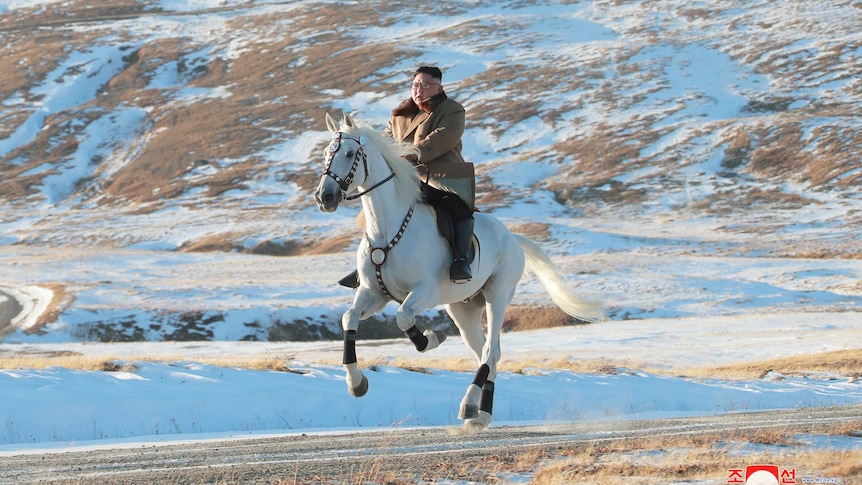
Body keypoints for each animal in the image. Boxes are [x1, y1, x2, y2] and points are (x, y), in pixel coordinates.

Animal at [314, 112, 604, 428]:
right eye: (327, 153)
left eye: (349, 153)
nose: (324, 197)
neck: (387, 229)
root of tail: (512, 237)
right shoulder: (373, 294)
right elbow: (349, 318)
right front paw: (356, 383)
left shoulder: (424, 292)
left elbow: (403, 317)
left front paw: (431, 339)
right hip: (462, 309)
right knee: (486, 354)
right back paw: (481, 413)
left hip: (497, 296)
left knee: (490, 351)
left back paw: (469, 406)